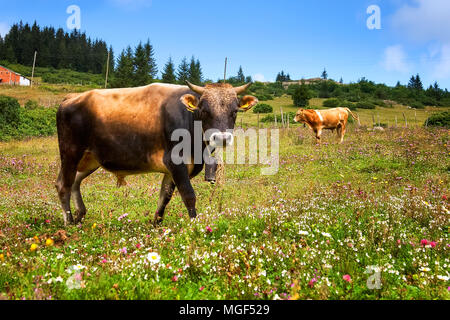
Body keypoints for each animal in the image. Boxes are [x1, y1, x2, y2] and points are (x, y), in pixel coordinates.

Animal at [55, 82, 258, 228]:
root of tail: (71, 98)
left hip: (91, 159)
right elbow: (188, 195)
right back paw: (68, 222)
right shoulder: (175, 162)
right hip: (70, 152)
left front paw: (156, 223)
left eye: (234, 111)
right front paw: (195, 226)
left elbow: (165, 196)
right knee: (63, 184)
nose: (221, 138)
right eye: (204, 110)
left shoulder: (172, 169)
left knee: (75, 181)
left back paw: (80, 215)